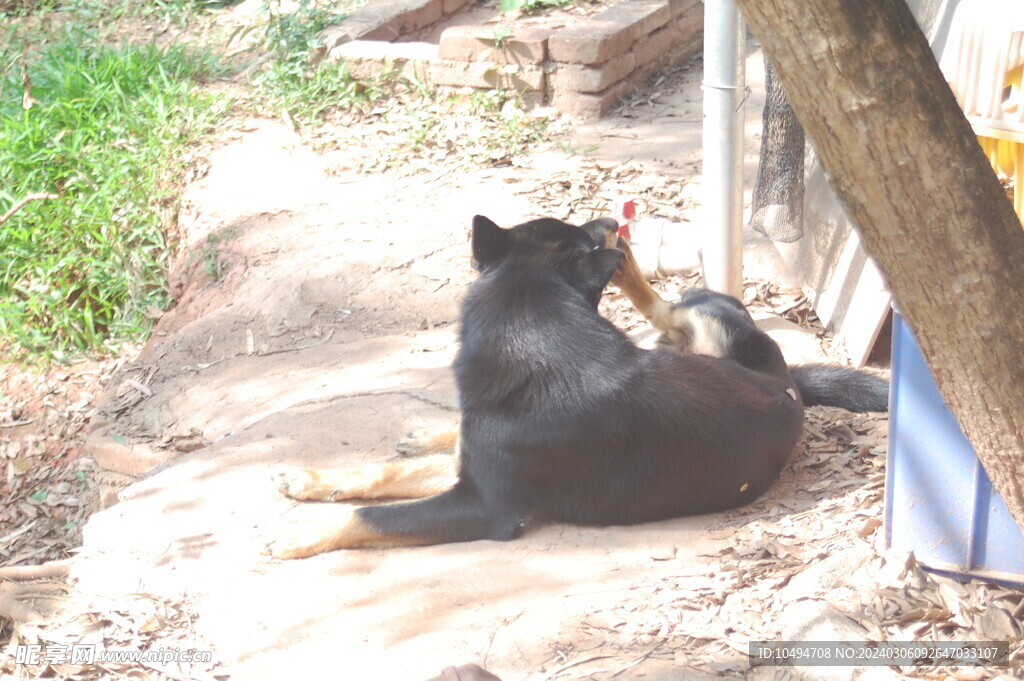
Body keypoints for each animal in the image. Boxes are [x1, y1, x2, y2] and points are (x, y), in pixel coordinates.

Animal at [268, 215, 811, 557]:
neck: (531, 328)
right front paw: (316, 480)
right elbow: (385, 475)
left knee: (672, 308)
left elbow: (371, 518)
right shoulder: (475, 474)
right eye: (576, 229)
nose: (606, 221)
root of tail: (784, 382)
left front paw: (297, 538)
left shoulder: (485, 505)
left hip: (713, 323)